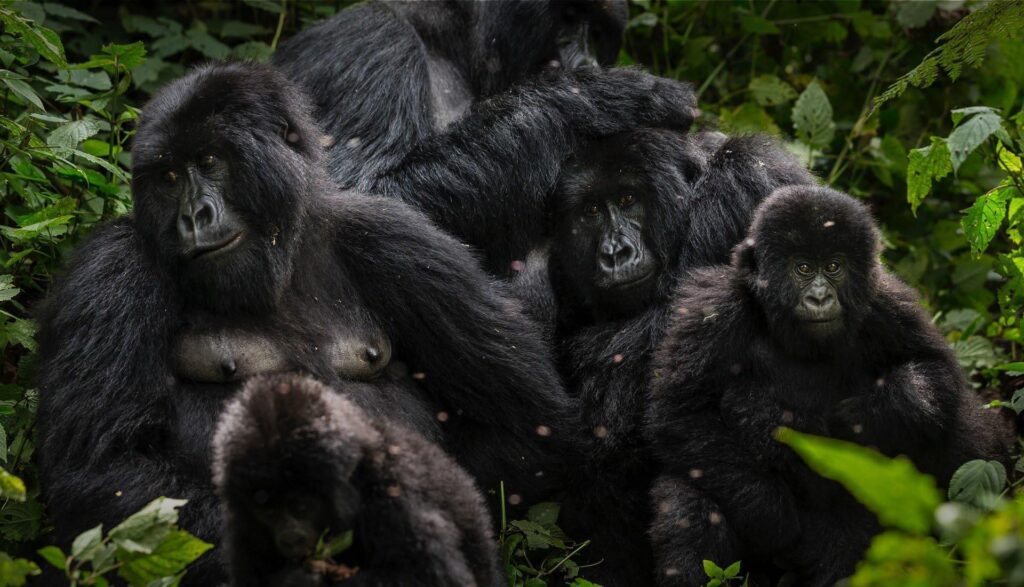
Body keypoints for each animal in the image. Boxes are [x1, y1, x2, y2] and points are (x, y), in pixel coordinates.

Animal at [212, 372, 499, 581]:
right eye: (267, 511)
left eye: (301, 506)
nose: (290, 538)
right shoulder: (241, 523)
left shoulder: (391, 493)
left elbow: (430, 576)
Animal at [643, 185, 1011, 581]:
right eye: (803, 267)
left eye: (834, 267)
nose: (819, 297)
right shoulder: (713, 308)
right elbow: (684, 413)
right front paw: (770, 513)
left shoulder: (885, 300)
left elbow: (933, 373)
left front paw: (857, 417)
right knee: (690, 498)